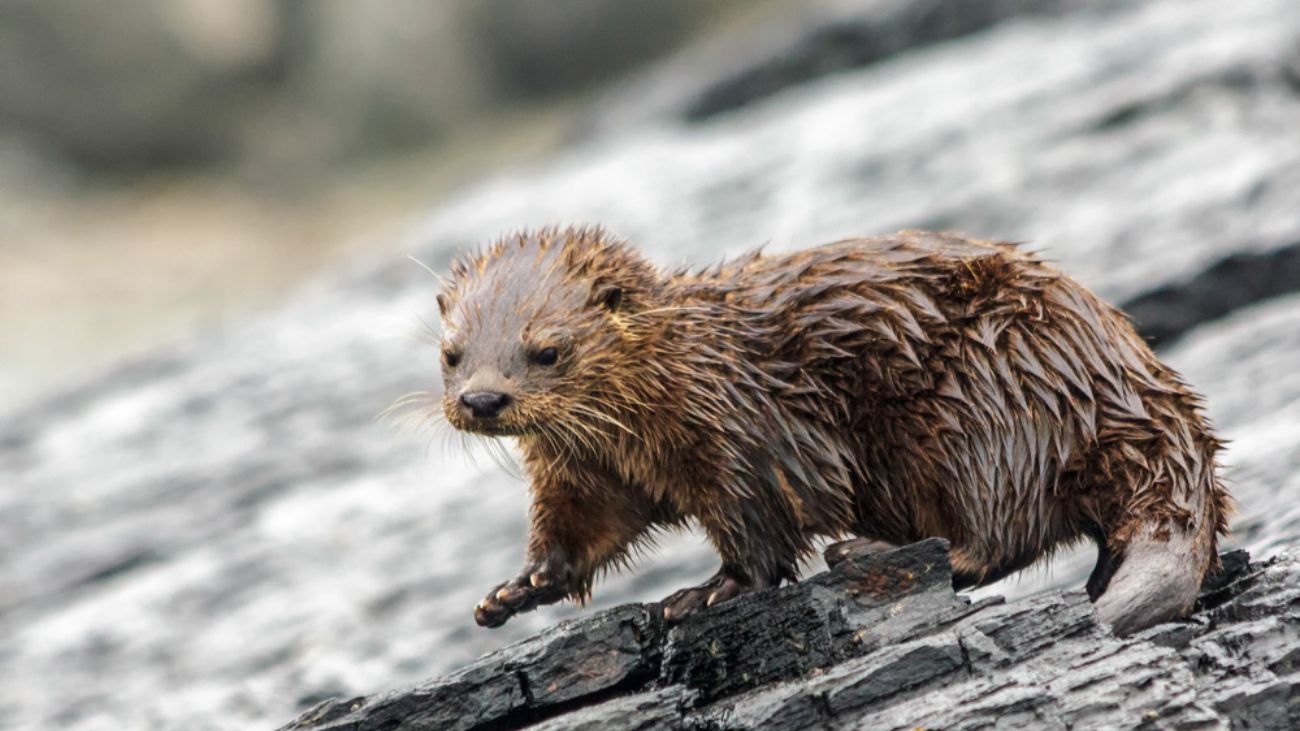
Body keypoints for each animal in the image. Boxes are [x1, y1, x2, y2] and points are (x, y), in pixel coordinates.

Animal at [434, 225, 1227, 634]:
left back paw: (868, 550)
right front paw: (515, 589)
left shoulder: (741, 431)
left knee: (1002, 530)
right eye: (451, 353)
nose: (482, 398)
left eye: (547, 350)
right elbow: (579, 530)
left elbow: (758, 526)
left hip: (982, 406)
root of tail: (1128, 389)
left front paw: (708, 591)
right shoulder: (584, 470)